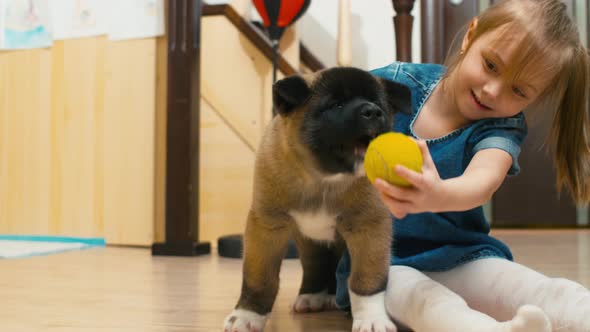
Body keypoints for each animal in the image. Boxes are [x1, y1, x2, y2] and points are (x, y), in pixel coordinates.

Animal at [224, 67, 414, 332]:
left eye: (379, 105)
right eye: (335, 105)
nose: (373, 111)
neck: (323, 180)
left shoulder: (369, 228)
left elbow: (366, 280)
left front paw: (372, 318)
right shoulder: (267, 227)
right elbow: (258, 279)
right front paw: (246, 314)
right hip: (309, 240)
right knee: (316, 265)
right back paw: (312, 295)